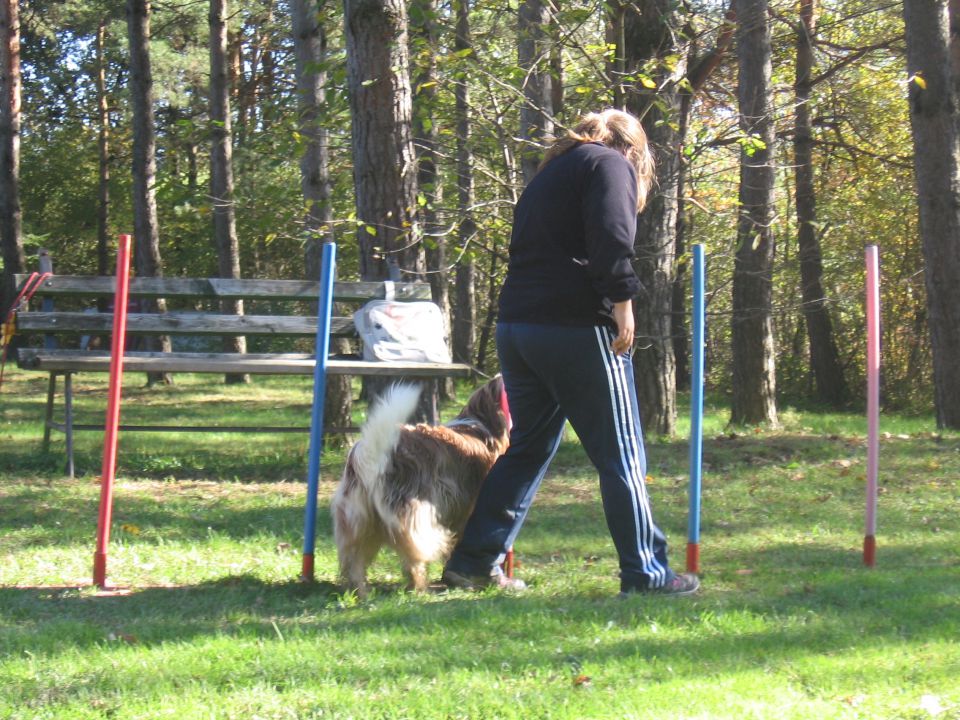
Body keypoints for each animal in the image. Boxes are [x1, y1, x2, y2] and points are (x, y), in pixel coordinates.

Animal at [330, 376, 510, 596]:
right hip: (416, 517)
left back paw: (361, 591)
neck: (481, 422)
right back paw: (419, 587)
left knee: (354, 558)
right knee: (413, 556)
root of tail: (373, 455)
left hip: (358, 522)